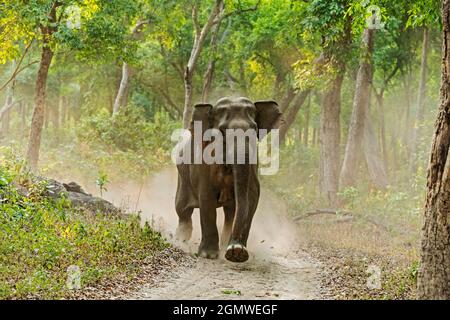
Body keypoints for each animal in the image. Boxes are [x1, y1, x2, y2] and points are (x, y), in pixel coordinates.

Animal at [173, 97, 282, 262]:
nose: (235, 246)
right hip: (182, 175)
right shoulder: (203, 164)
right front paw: (209, 255)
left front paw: (237, 253)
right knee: (182, 208)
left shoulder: (253, 164)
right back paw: (181, 239)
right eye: (223, 131)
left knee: (230, 212)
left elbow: (252, 197)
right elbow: (206, 198)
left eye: (254, 129)